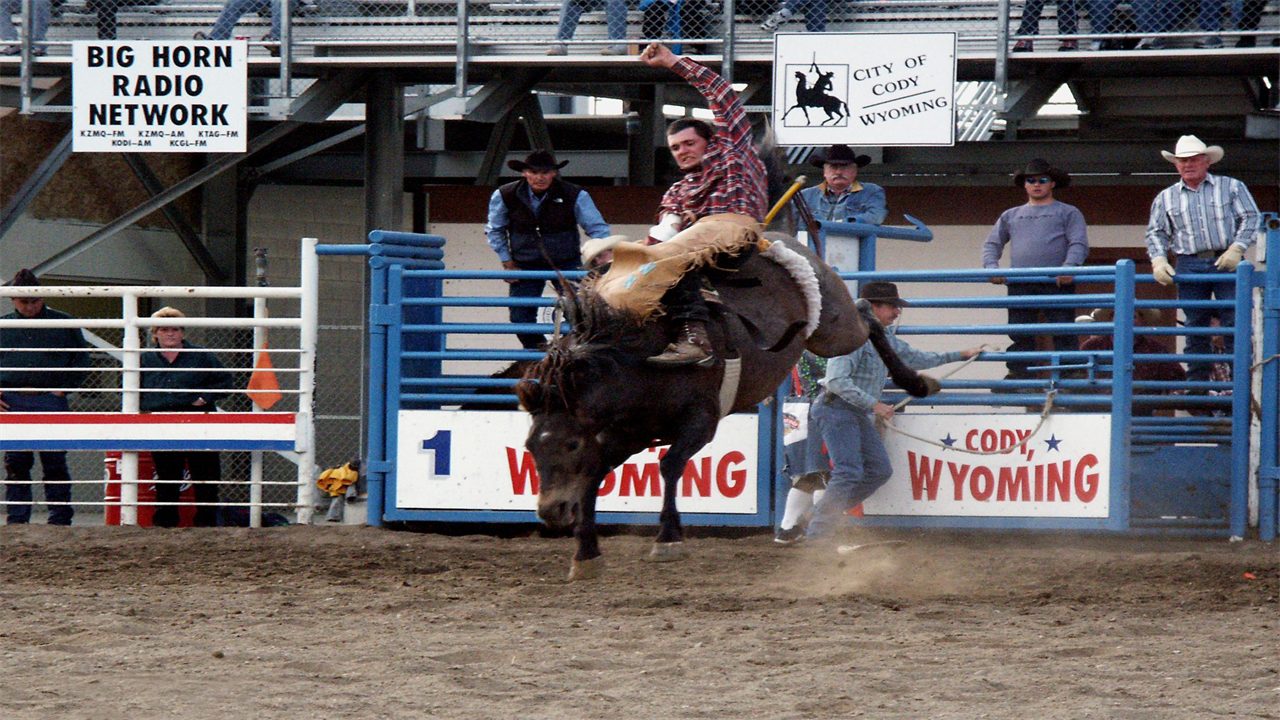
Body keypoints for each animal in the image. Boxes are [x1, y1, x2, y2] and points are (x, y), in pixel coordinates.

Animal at [514, 233, 936, 579]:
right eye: (530, 446)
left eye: (570, 444)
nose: (550, 511)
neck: (638, 360)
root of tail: (786, 240)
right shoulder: (626, 433)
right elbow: (594, 474)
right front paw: (586, 554)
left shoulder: (701, 422)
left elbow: (669, 465)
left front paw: (667, 539)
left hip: (834, 330)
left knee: (867, 314)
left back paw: (916, 380)